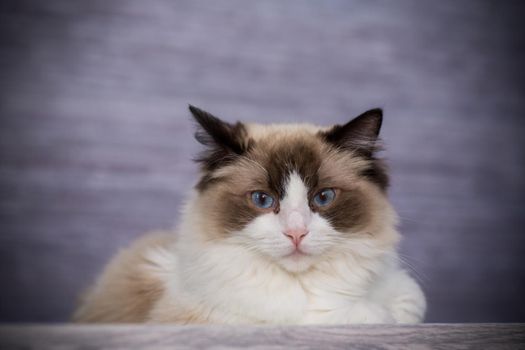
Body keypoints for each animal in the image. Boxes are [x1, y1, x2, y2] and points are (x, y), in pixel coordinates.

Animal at [72, 105, 426, 324]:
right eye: (262, 199)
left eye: (323, 197)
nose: (296, 233)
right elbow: (347, 317)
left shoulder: (406, 297)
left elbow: (406, 305)